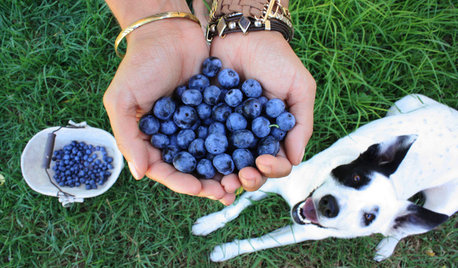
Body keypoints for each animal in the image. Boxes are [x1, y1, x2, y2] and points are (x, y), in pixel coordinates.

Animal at [191, 94, 456, 262]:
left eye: (369, 217)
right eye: (356, 177)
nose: (329, 205)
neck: (306, 191)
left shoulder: (300, 232)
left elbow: (260, 242)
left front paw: (226, 251)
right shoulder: (275, 180)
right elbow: (235, 207)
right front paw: (209, 223)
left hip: (440, 206)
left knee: (403, 229)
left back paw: (386, 247)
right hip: (404, 103)